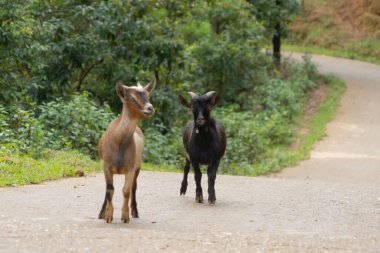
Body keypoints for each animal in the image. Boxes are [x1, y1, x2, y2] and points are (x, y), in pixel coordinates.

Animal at [99, 78, 157, 222]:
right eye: (130, 97)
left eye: (148, 95)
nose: (150, 108)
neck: (119, 142)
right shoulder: (107, 166)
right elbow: (109, 190)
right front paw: (108, 216)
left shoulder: (130, 167)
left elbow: (126, 190)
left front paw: (125, 216)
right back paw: (101, 213)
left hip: (138, 165)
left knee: (133, 187)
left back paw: (135, 211)